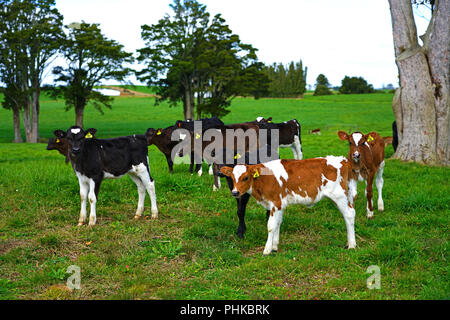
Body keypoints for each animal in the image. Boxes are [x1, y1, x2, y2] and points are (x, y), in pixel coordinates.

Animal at [220, 158, 356, 255]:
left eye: (246, 177)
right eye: (232, 178)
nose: (235, 192)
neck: (264, 178)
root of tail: (343, 160)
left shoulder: (275, 203)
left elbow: (271, 226)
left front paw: (267, 250)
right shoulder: (280, 204)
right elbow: (278, 223)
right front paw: (275, 247)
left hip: (339, 196)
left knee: (349, 215)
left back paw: (352, 245)